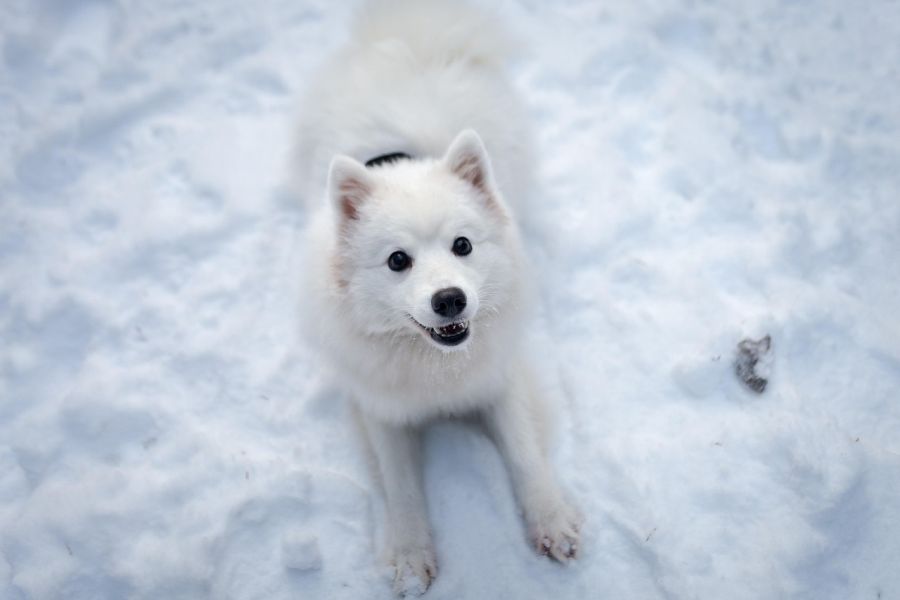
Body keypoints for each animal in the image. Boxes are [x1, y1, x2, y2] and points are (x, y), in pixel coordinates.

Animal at [292, 0, 580, 592]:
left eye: (462, 245)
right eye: (398, 261)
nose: (450, 300)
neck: (436, 366)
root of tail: (409, 36)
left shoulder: (501, 379)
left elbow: (525, 452)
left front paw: (551, 520)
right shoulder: (380, 407)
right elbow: (401, 486)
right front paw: (408, 556)